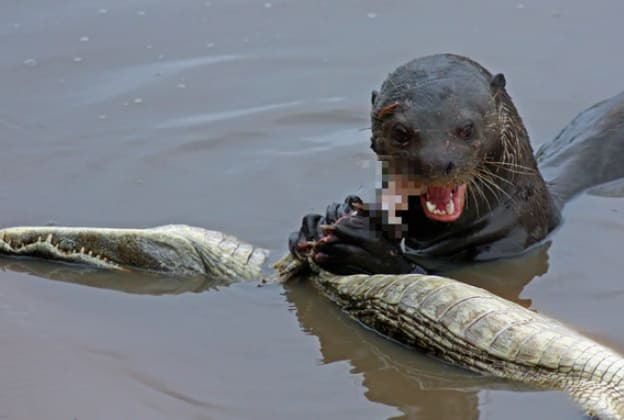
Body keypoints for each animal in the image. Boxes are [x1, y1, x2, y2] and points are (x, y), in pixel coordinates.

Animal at [292, 52, 624, 276]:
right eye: (400, 132)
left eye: (466, 128)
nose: (435, 164)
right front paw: (321, 220)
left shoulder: (510, 244)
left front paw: (366, 250)